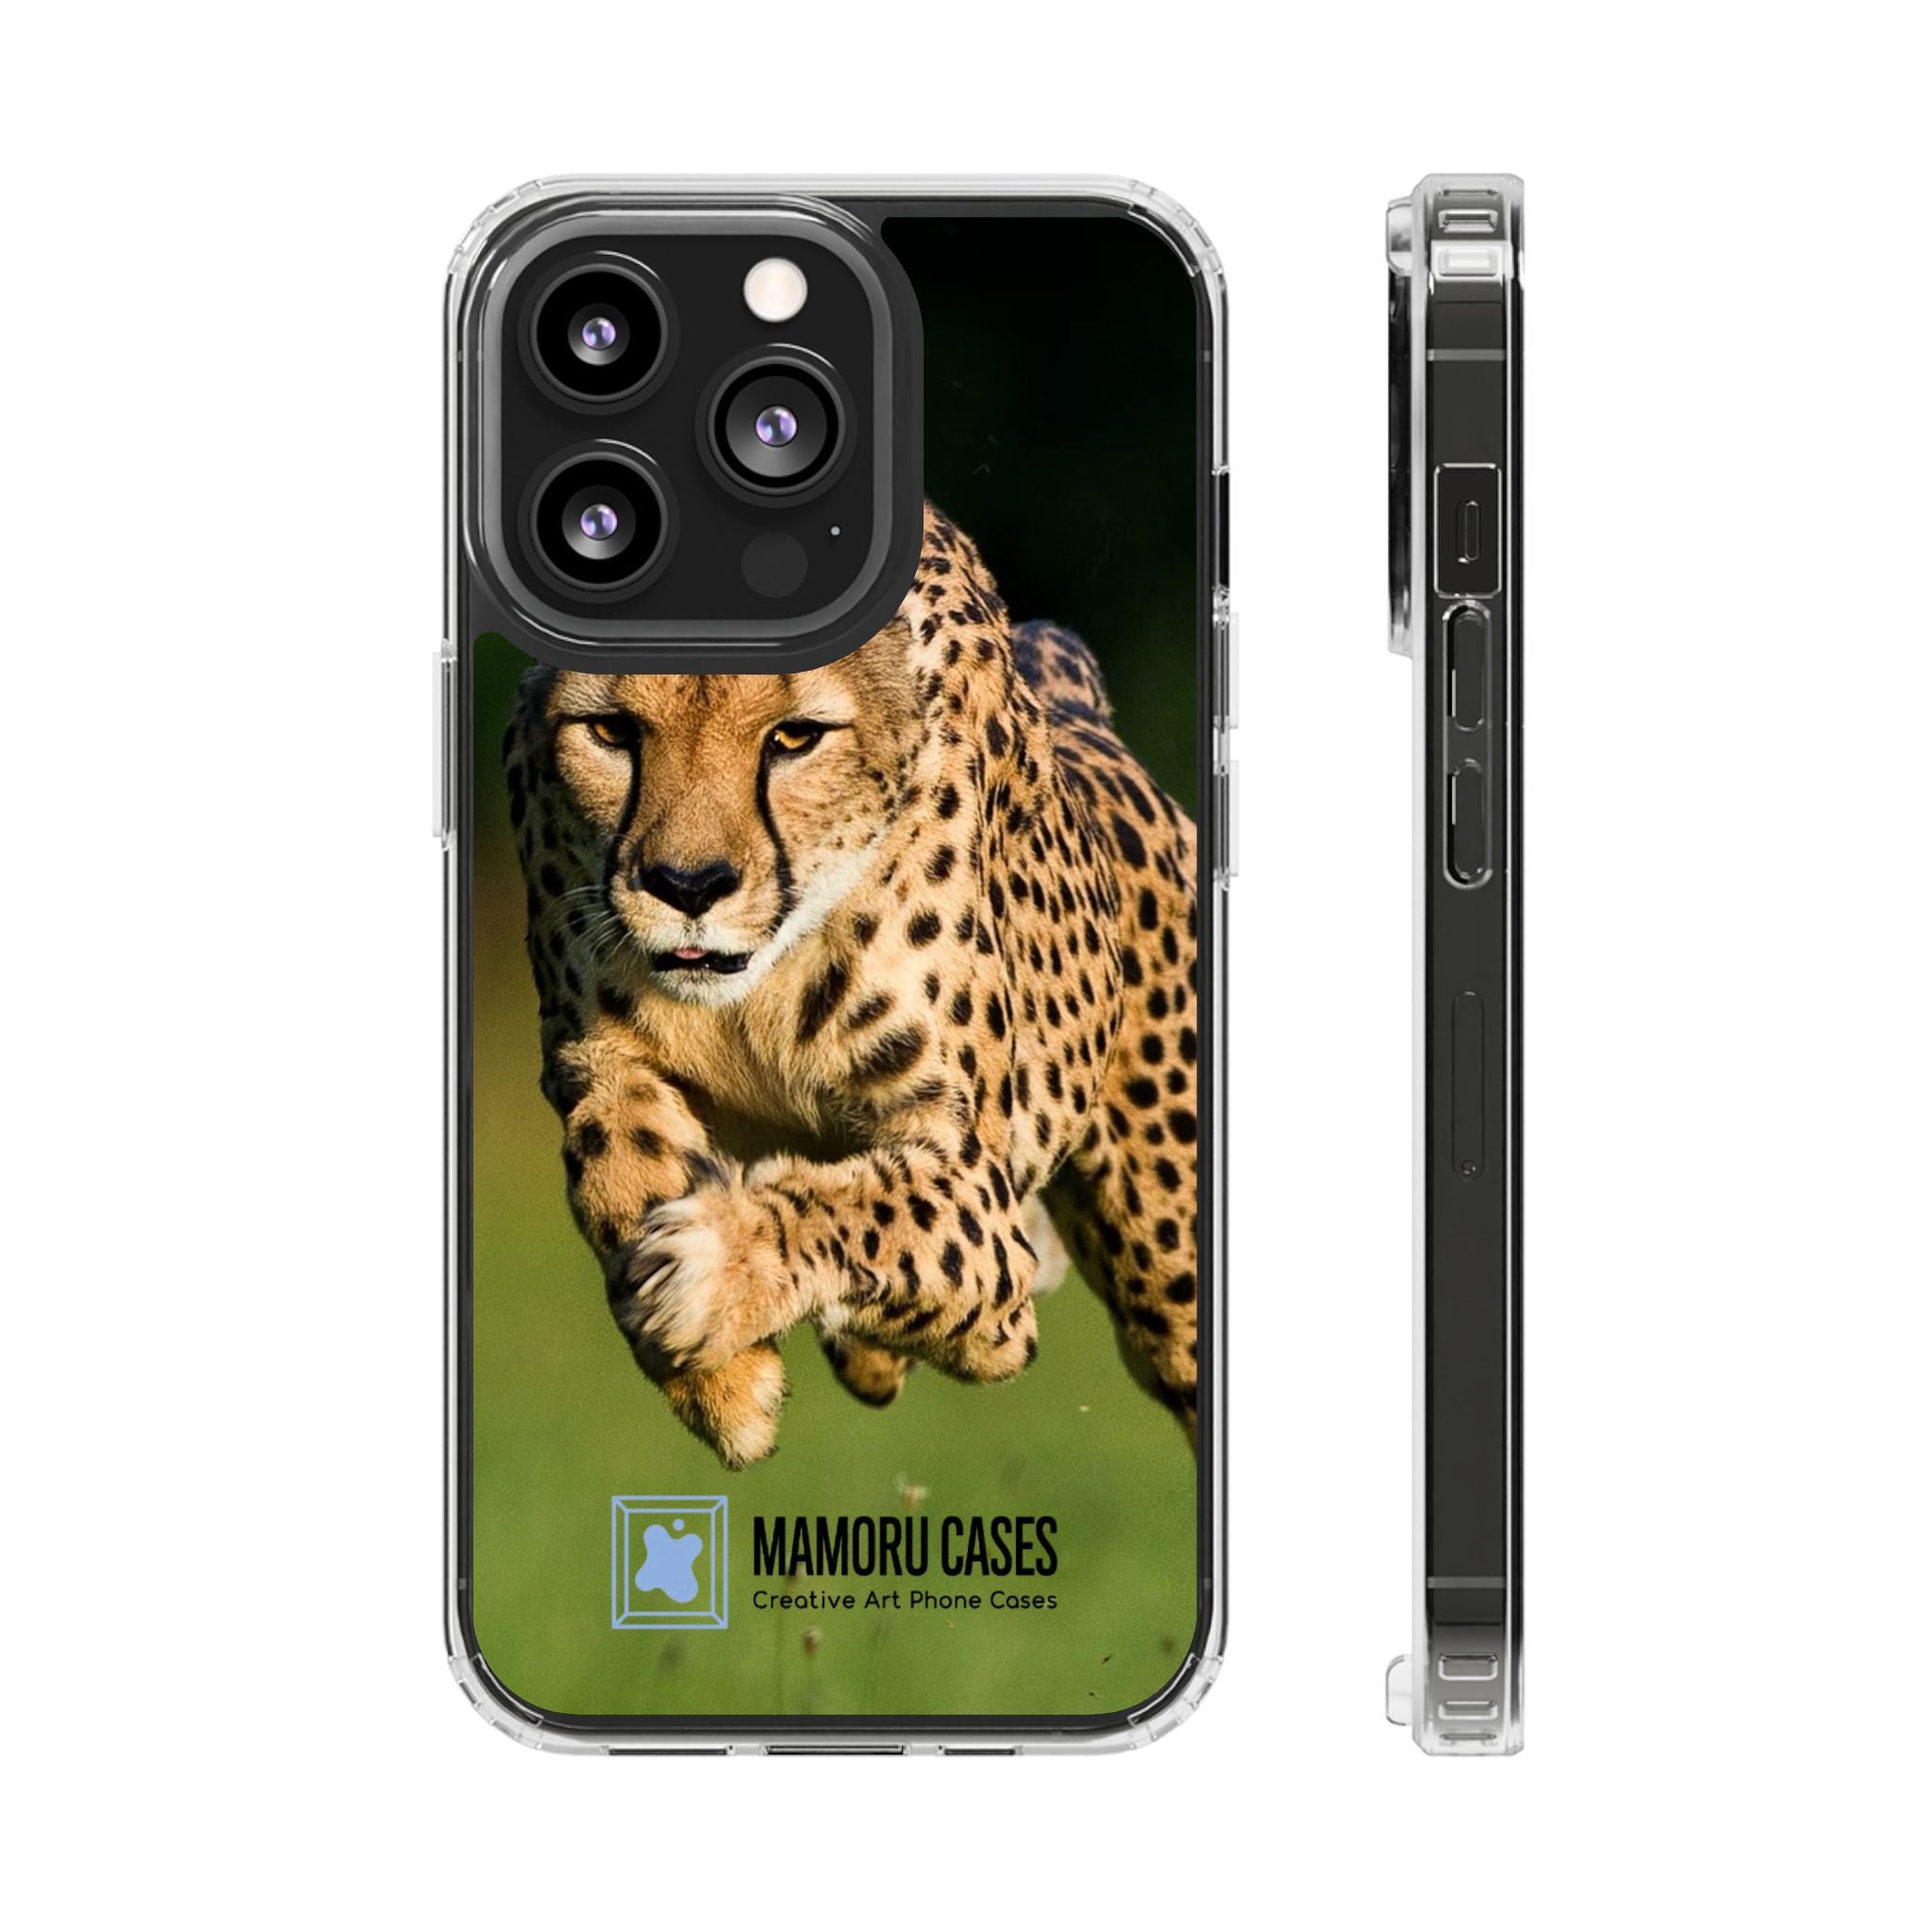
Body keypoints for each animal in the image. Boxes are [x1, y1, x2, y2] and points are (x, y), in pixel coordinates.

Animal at [504, 504, 1202, 1468]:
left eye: (795, 737)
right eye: (612, 731)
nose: (688, 886)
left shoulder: (974, 1197)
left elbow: (883, 1216)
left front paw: (719, 1267)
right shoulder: (591, 1053)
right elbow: (613, 1158)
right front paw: (723, 1384)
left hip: (1171, 1260)